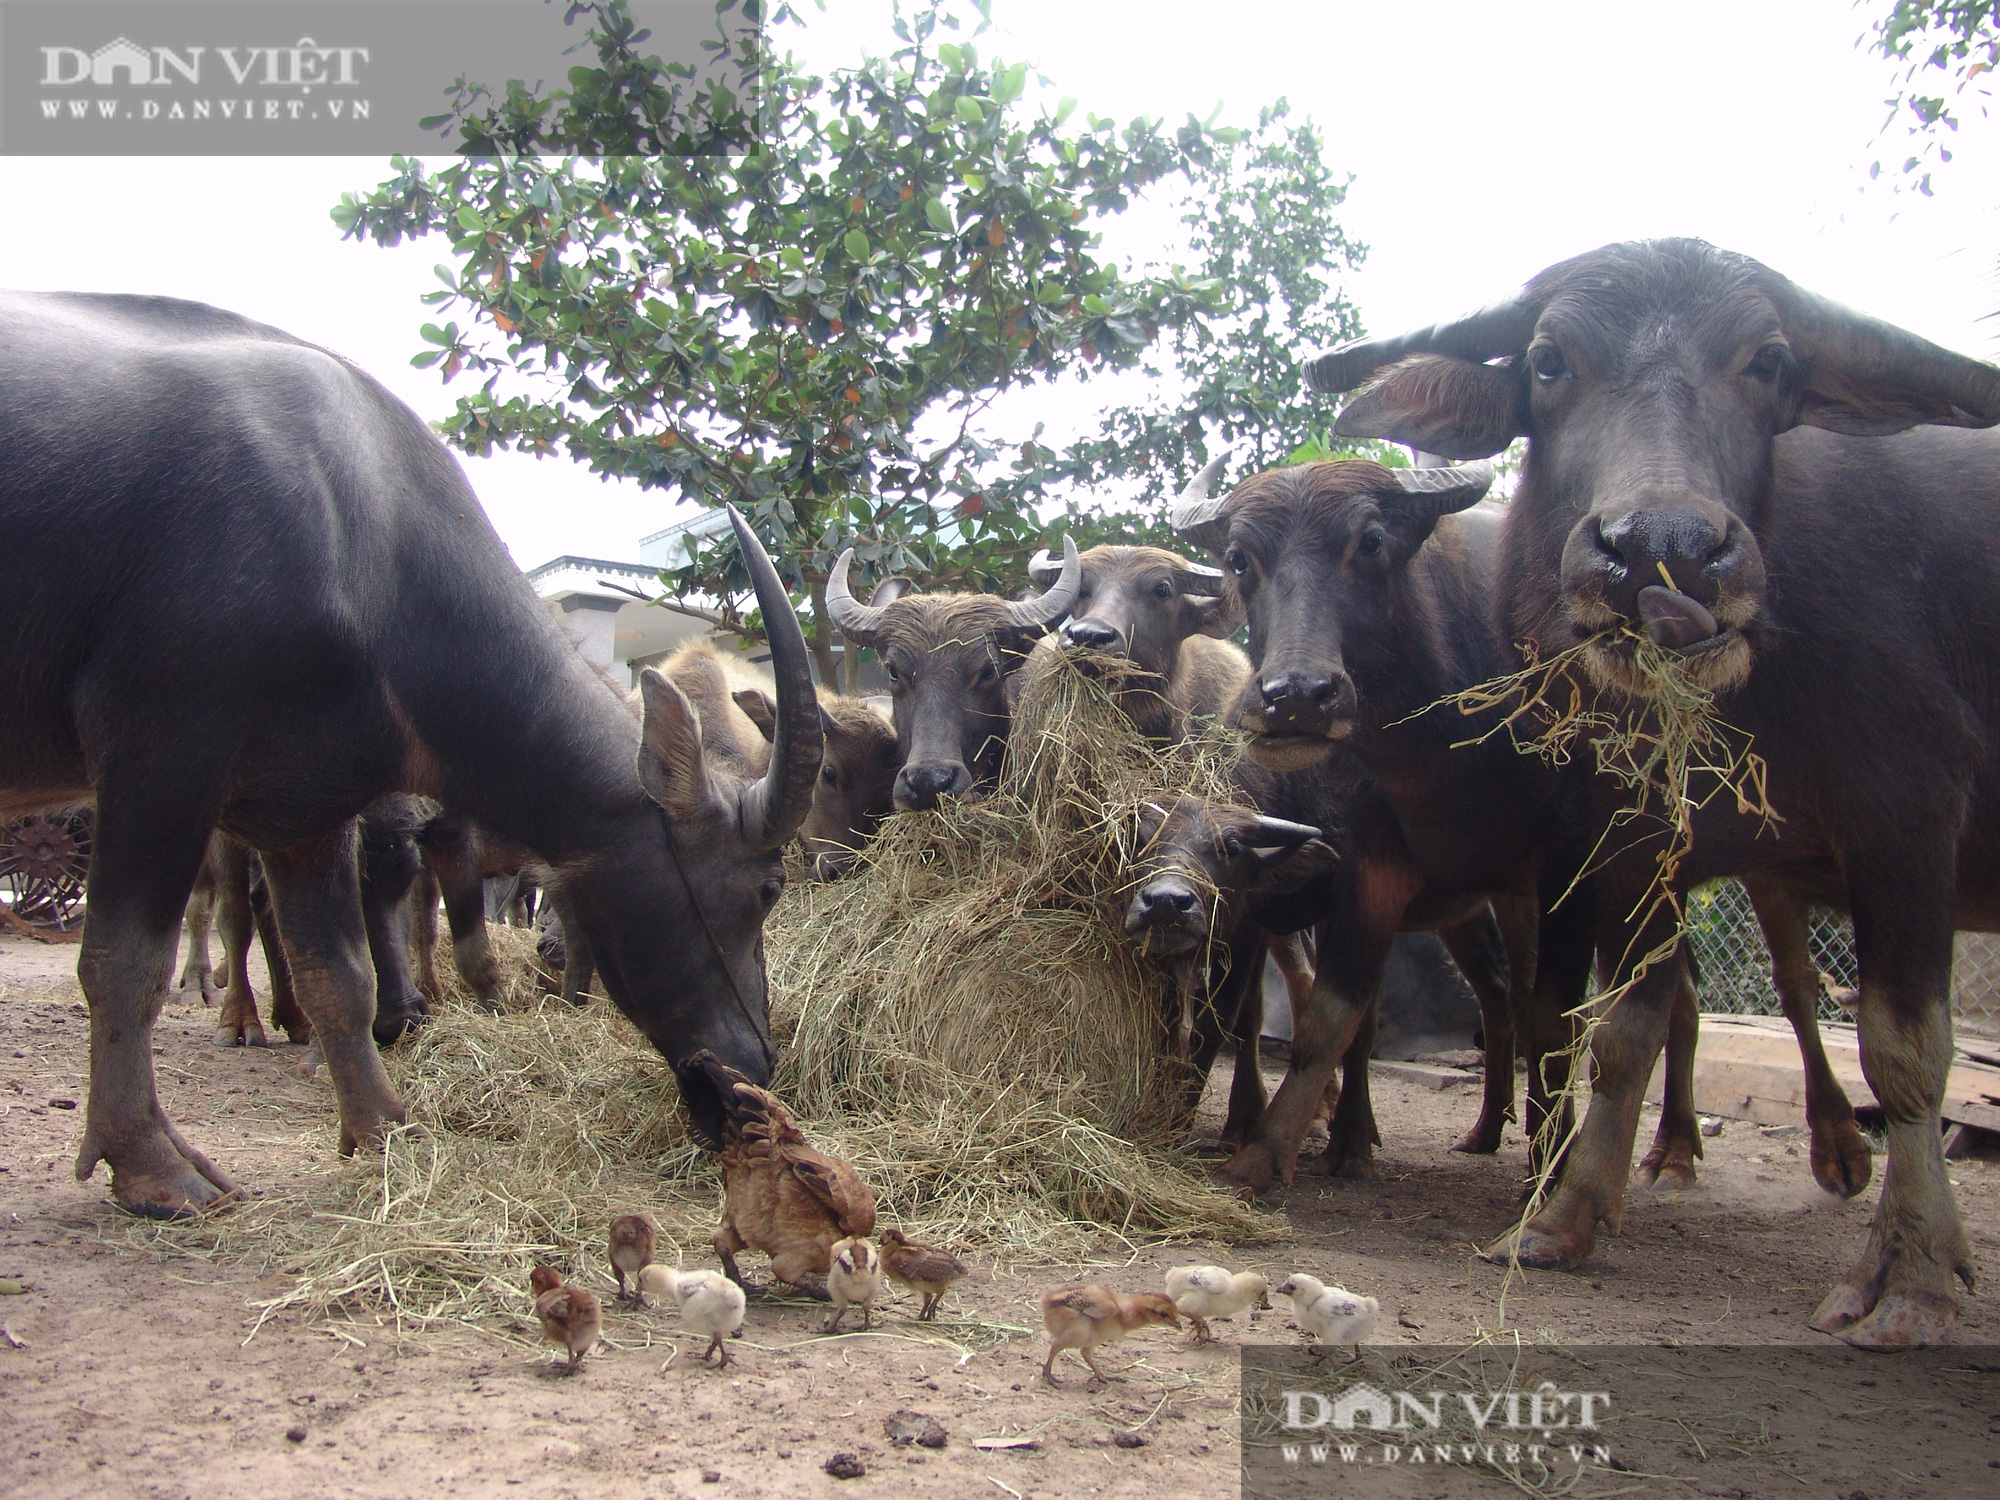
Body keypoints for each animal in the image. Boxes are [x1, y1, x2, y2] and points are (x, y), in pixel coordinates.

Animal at [0, 290, 824, 1224]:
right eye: (768, 887)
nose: (753, 1076)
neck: (362, 535)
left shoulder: (307, 811)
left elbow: (339, 974)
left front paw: (384, 1128)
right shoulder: (160, 757)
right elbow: (122, 961)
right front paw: (149, 1163)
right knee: (226, 921)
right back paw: (237, 1021)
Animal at [1312, 238, 2000, 1352]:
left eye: (1769, 361)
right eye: (1548, 361)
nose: (1659, 550)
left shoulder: (1911, 809)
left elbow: (1905, 1050)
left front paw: (1914, 1275)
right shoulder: (1636, 842)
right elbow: (1623, 1029)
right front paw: (1562, 1217)